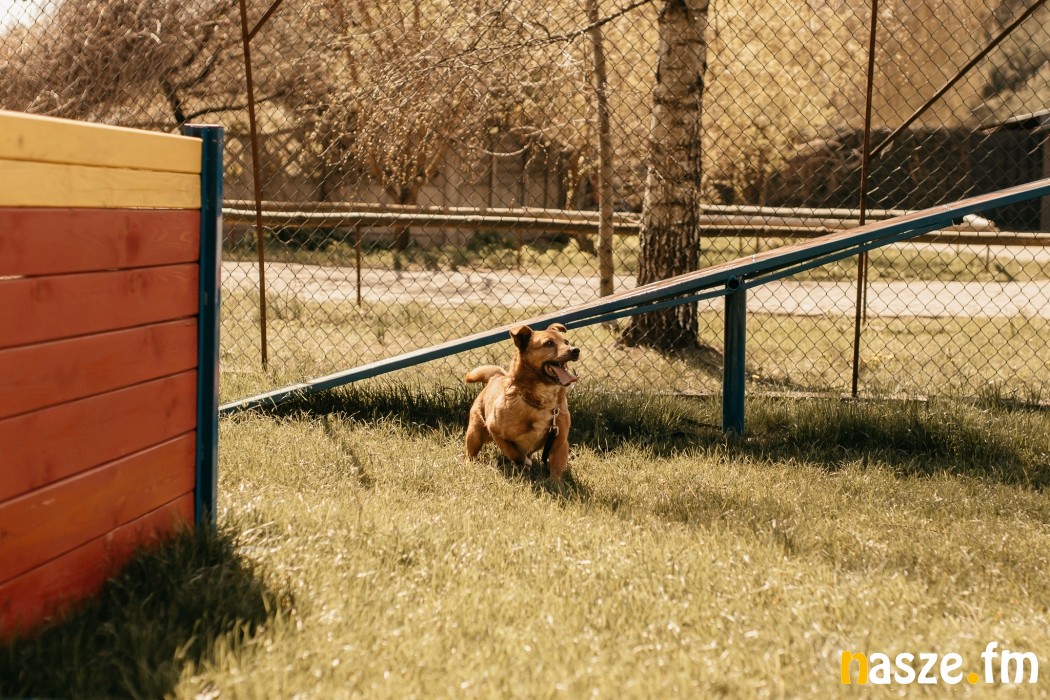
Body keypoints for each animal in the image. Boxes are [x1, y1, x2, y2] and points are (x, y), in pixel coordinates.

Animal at [464, 323, 580, 481]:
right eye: (548, 343)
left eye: (566, 342)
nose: (575, 350)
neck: (541, 402)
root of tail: (496, 376)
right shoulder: (495, 429)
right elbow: (514, 453)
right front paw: (524, 462)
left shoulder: (559, 440)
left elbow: (556, 468)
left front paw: (555, 485)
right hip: (475, 433)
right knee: (470, 454)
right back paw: (470, 464)